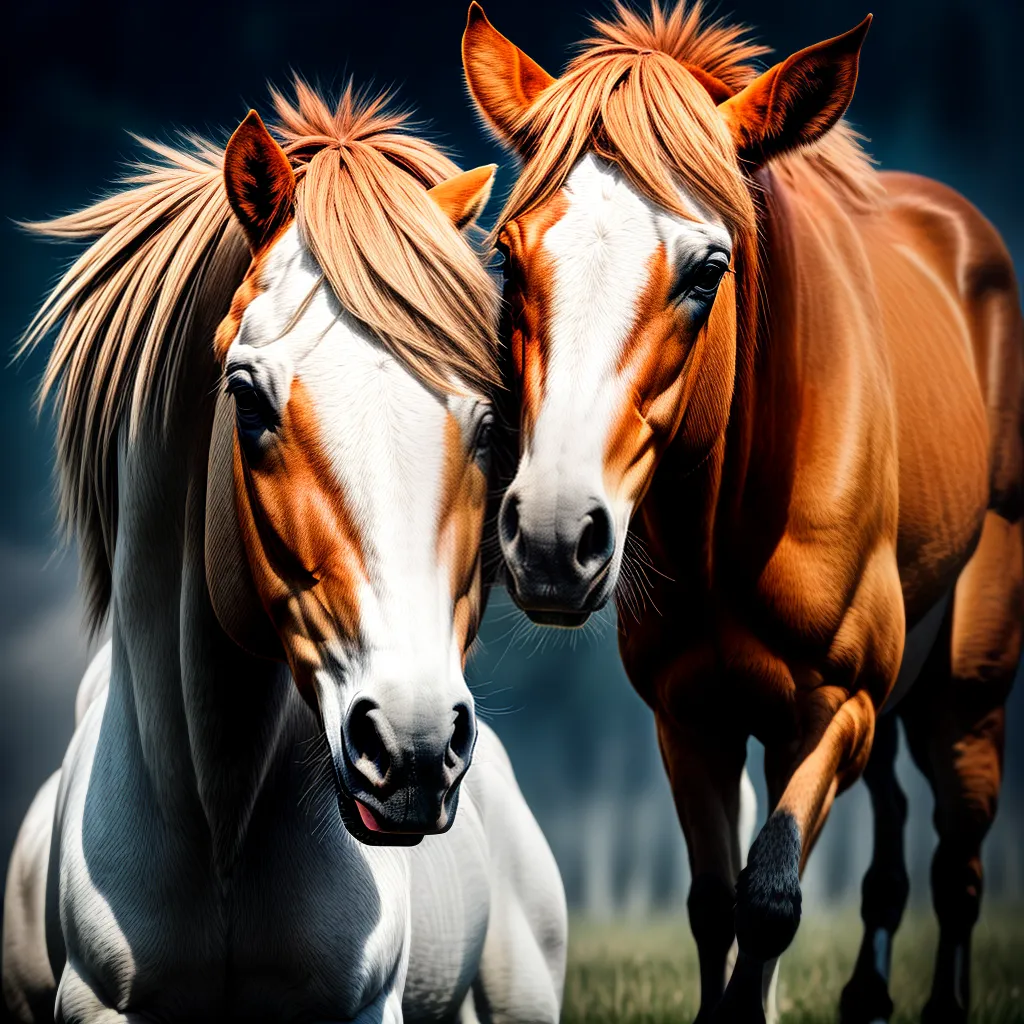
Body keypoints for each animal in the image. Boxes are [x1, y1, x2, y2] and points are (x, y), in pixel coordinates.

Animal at [461, 3, 1023, 1022]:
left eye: (707, 268)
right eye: (509, 260)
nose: (556, 541)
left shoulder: (837, 711)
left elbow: (770, 899)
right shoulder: (692, 719)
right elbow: (716, 904)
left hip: (965, 690)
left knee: (959, 858)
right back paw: (866, 994)